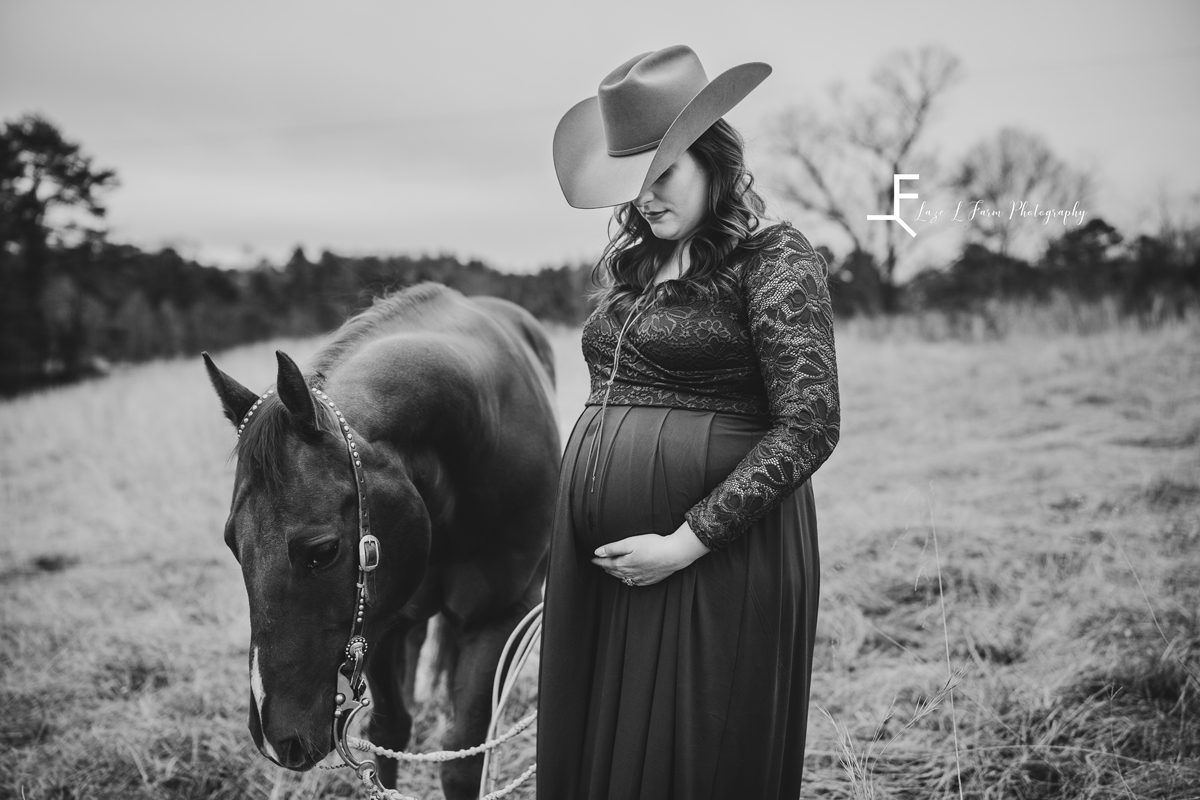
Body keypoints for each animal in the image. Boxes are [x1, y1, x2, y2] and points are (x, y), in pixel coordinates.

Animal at [204, 281, 559, 796]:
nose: (276, 738)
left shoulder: (500, 616)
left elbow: (463, 758)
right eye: (233, 544)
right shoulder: (380, 621)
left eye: (324, 551)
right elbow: (389, 731)